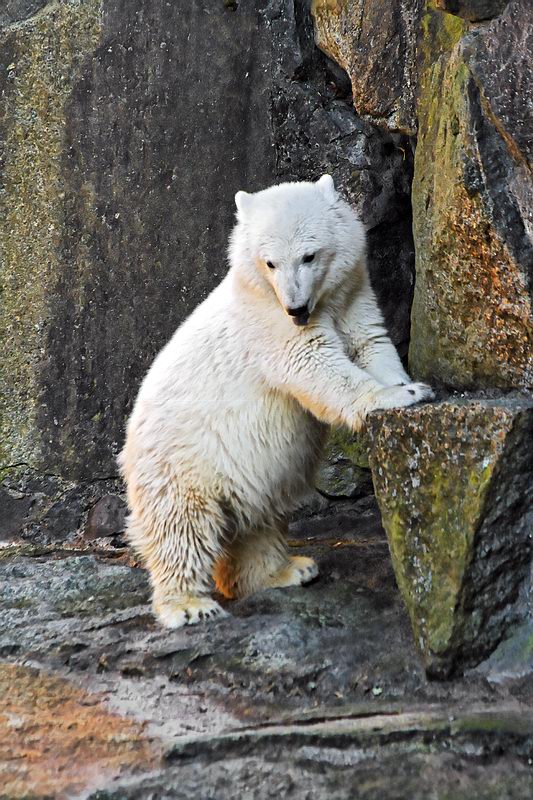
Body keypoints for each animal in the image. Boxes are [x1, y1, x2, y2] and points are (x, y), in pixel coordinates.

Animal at [119, 178, 432, 628]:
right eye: (270, 263)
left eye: (309, 255)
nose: (296, 308)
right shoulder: (268, 324)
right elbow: (314, 362)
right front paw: (400, 395)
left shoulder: (352, 294)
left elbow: (370, 341)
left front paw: (406, 383)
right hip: (181, 462)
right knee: (183, 526)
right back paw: (189, 605)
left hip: (246, 472)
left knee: (259, 519)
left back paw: (289, 569)